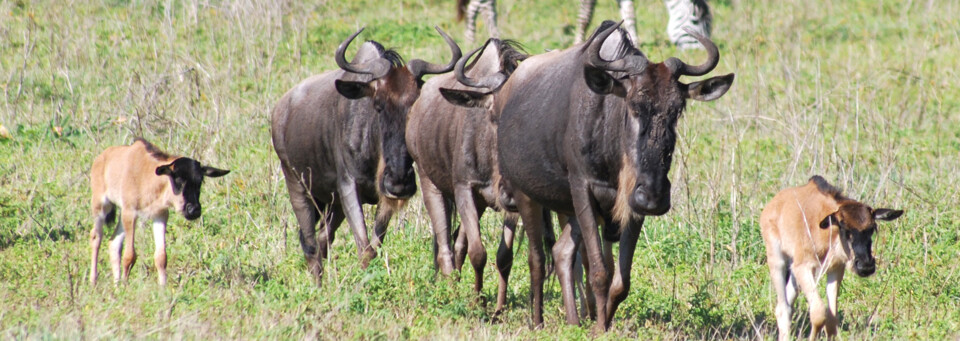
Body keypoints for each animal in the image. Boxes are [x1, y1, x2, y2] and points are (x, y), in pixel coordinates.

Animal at [88, 138, 231, 284]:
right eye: (178, 179)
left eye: (200, 180)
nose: (194, 210)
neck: (149, 179)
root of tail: (100, 158)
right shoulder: (131, 213)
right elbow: (129, 256)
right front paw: (125, 286)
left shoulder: (160, 216)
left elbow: (161, 257)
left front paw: (163, 287)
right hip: (101, 206)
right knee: (96, 237)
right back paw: (93, 281)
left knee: (114, 242)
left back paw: (116, 285)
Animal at [760, 175, 904, 340]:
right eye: (844, 227)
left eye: (872, 228)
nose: (866, 266)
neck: (828, 232)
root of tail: (773, 204)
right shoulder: (803, 267)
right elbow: (819, 312)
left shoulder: (835, 269)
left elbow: (831, 320)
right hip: (777, 261)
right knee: (783, 309)